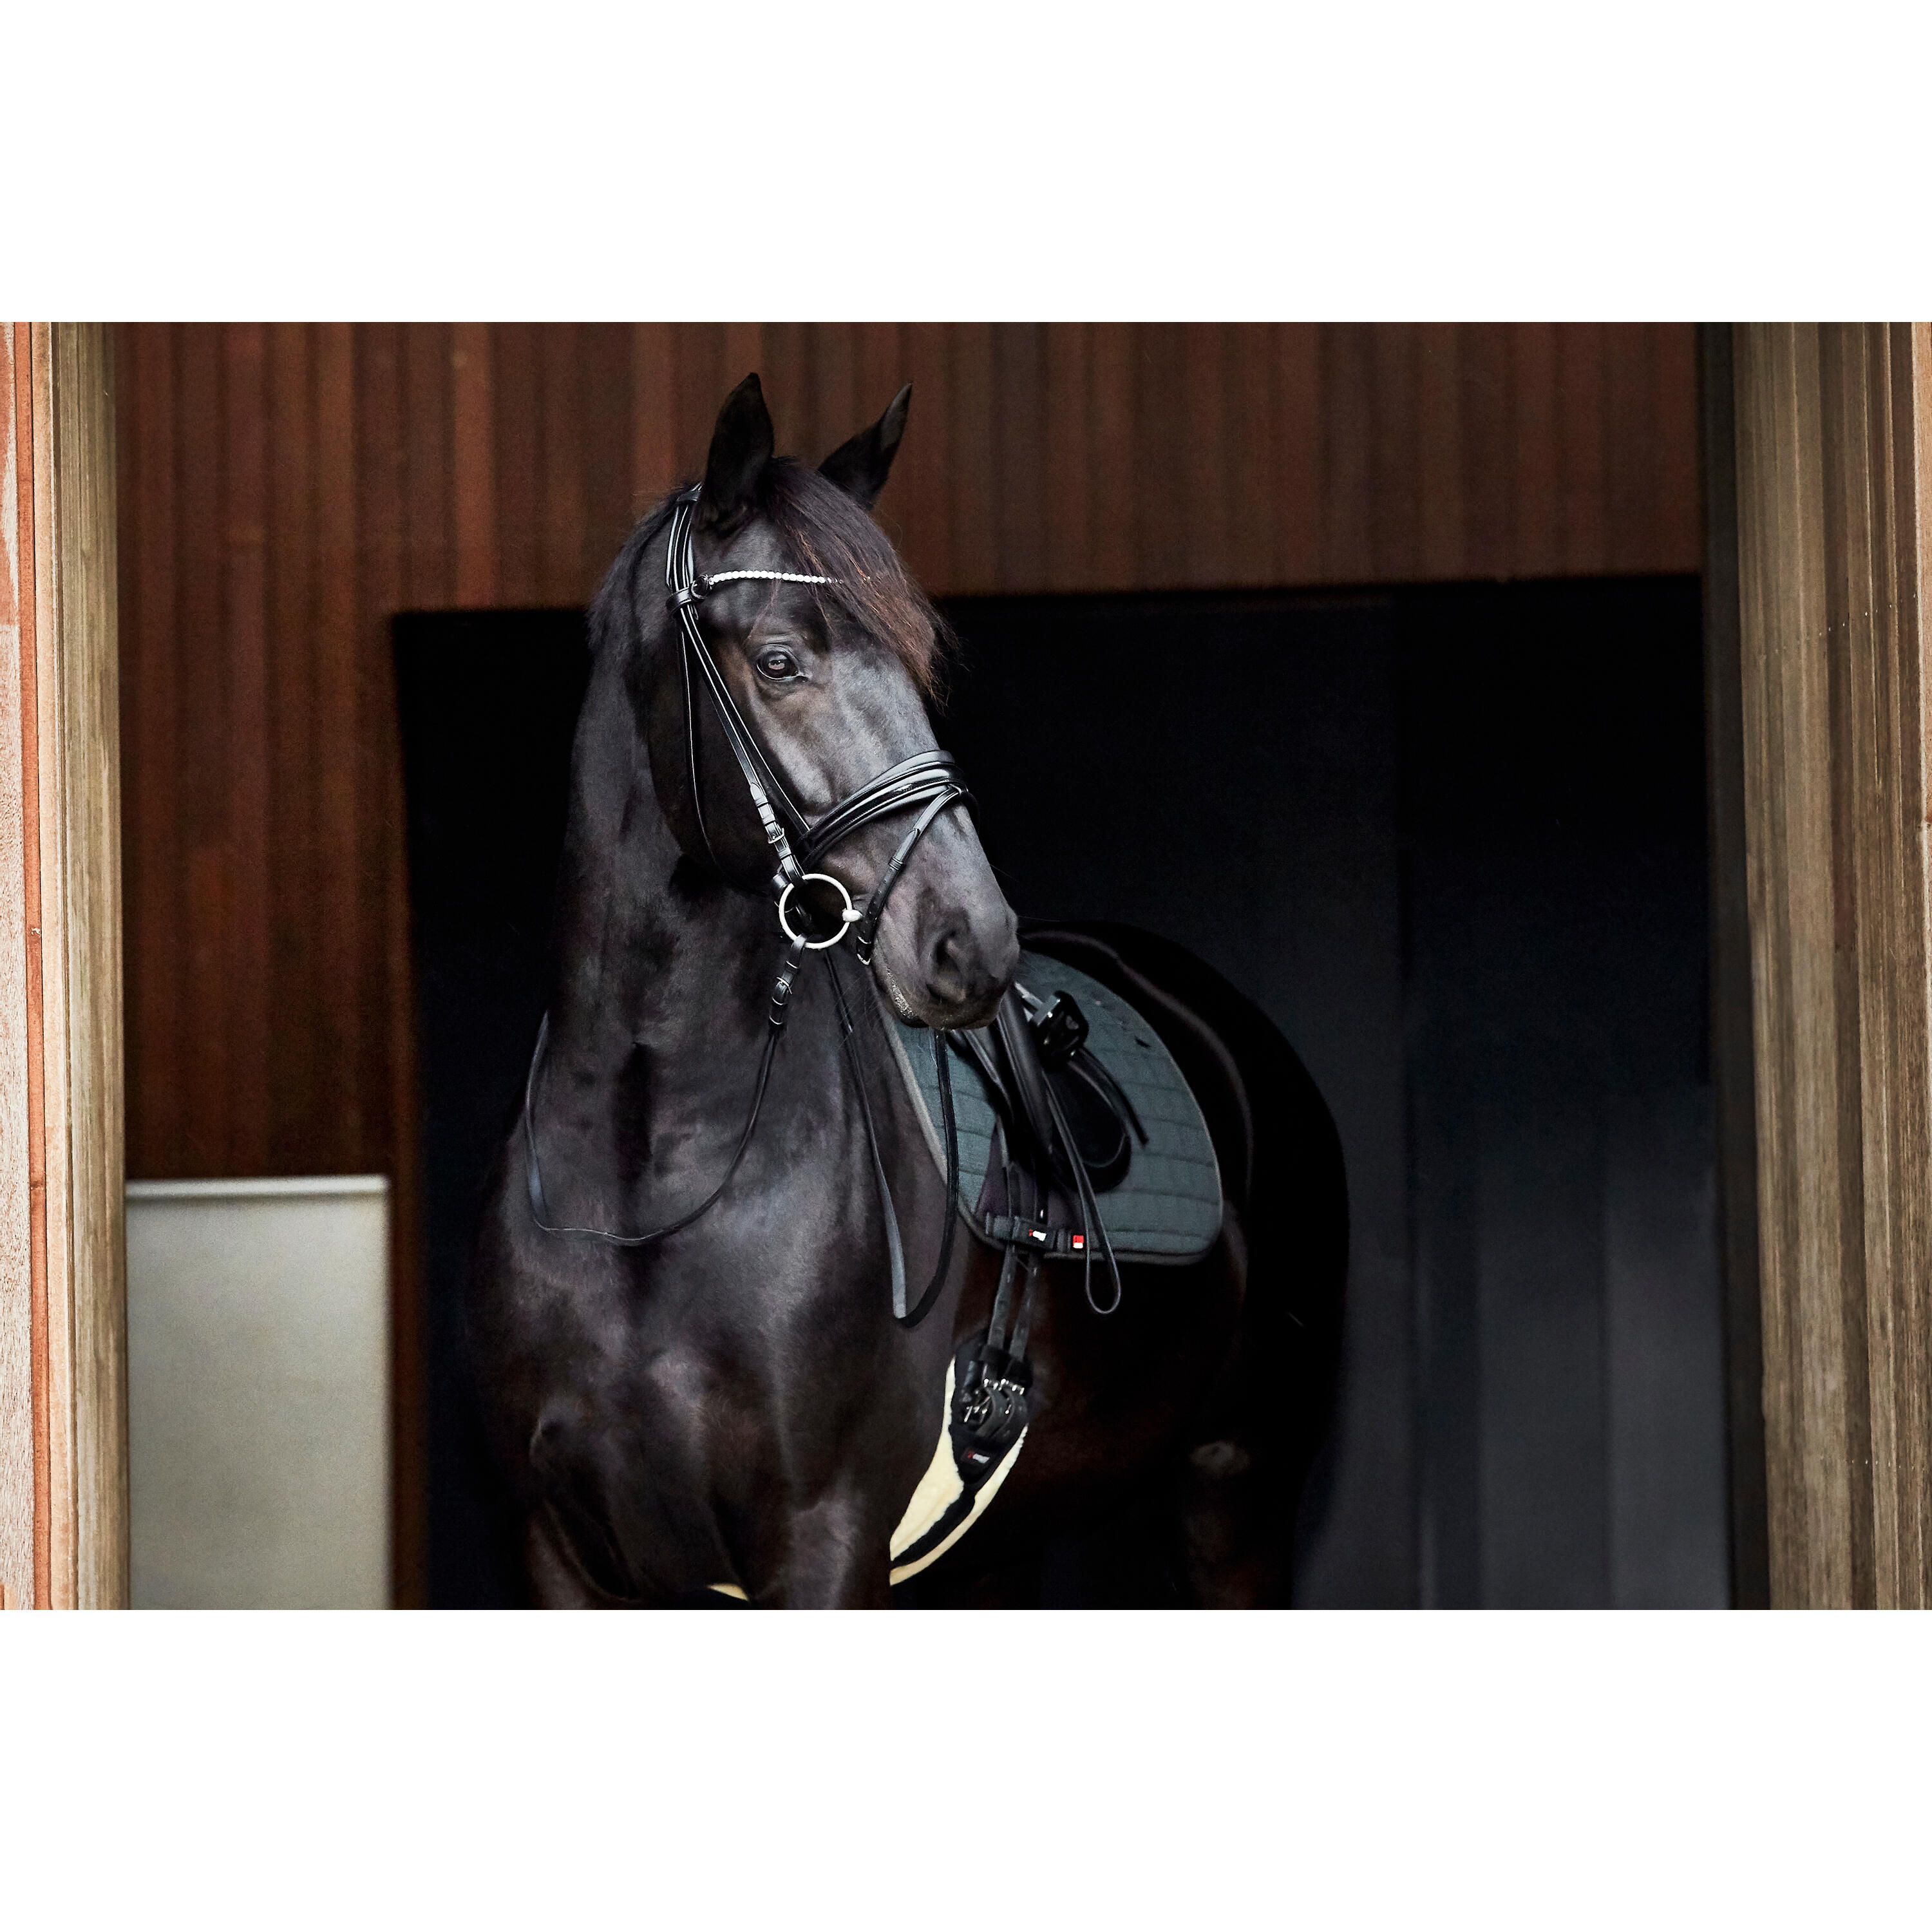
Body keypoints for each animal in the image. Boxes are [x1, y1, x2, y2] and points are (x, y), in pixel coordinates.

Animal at [468, 372, 1348, 1608]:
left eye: (917, 665)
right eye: (779, 661)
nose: (971, 941)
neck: (650, 1185)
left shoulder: (822, 1545)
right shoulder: (562, 1552)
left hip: (1238, 1496)